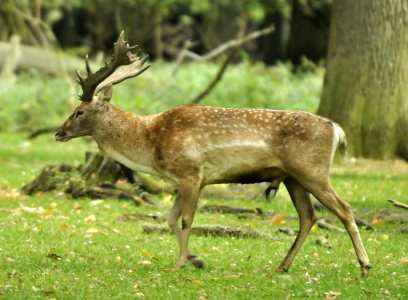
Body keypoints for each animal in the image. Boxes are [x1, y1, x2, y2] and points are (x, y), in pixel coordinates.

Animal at [55, 32, 372, 276]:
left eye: (79, 111)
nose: (59, 133)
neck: (151, 144)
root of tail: (337, 129)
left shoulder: (190, 172)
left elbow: (186, 220)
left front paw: (180, 264)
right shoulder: (184, 179)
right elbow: (170, 219)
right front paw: (196, 259)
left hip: (312, 170)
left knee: (344, 208)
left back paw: (364, 266)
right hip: (293, 177)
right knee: (309, 216)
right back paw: (283, 265)